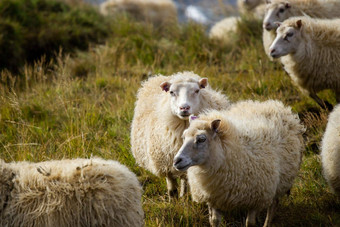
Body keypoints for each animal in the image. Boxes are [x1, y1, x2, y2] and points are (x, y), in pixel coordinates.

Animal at [130, 71, 231, 200]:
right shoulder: (166, 162)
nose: (184, 107)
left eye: (197, 90)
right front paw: (172, 200)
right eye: (171, 92)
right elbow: (171, 186)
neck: (184, 124)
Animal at [174, 100, 304, 226]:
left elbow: (250, 223)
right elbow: (214, 221)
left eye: (201, 139)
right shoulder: (214, 197)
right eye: (184, 137)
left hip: (281, 183)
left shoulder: (257, 198)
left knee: (273, 207)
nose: (176, 161)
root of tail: (275, 105)